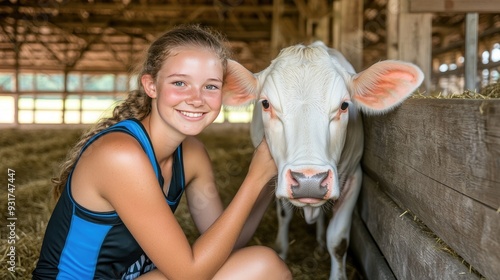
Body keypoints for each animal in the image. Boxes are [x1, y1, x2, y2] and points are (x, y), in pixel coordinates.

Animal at [223, 42, 422, 280]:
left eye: (344, 105)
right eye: (265, 103)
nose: (309, 181)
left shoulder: (354, 177)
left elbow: (338, 241)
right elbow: (284, 215)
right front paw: (281, 252)